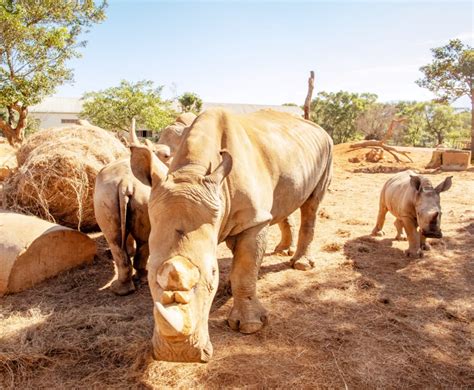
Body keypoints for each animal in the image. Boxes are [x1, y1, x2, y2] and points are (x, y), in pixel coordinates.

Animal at [130, 107, 334, 362]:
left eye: (212, 274)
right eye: (149, 273)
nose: (178, 354)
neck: (192, 172)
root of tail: (316, 127)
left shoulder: (253, 222)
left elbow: (244, 270)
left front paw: (250, 326)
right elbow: (239, 261)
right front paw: (228, 287)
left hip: (327, 149)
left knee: (312, 204)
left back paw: (301, 265)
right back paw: (282, 250)